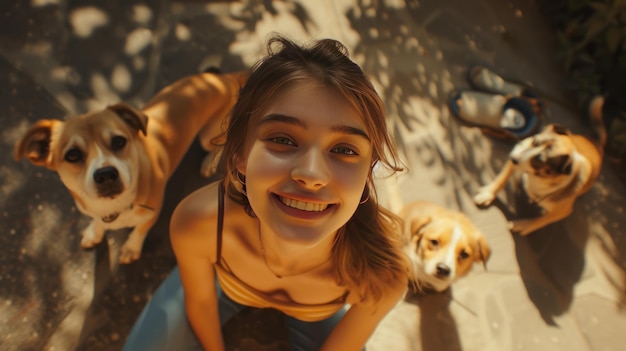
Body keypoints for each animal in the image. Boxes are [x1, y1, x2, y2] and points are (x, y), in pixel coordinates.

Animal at [14, 71, 244, 264]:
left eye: (118, 141)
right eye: (72, 155)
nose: (106, 175)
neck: (113, 208)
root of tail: (225, 78)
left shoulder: (151, 214)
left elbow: (139, 231)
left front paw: (131, 249)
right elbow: (97, 222)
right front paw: (94, 232)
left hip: (207, 136)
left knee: (219, 146)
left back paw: (209, 163)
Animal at [472, 95, 604, 236]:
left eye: (539, 160)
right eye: (535, 141)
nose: (513, 158)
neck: (538, 179)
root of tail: (596, 143)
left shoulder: (562, 212)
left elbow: (541, 221)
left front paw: (523, 225)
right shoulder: (520, 151)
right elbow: (501, 179)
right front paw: (488, 194)